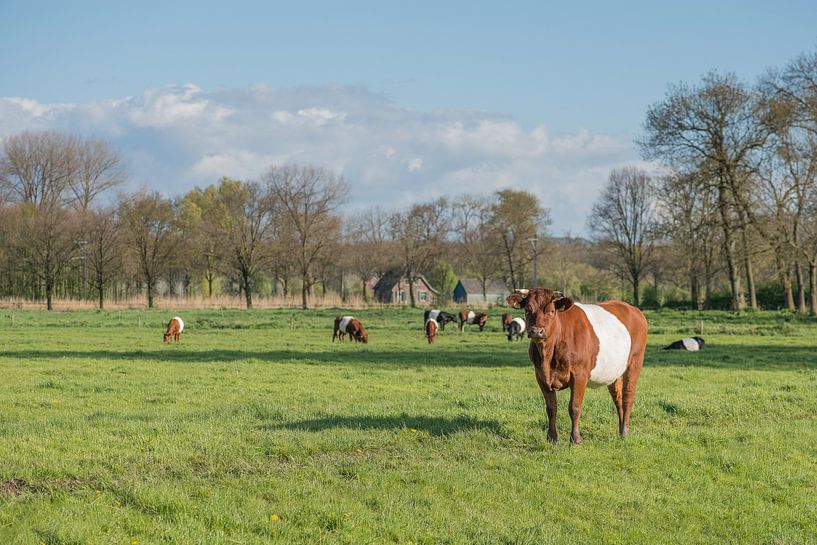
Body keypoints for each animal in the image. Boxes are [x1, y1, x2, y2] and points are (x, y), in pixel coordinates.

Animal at [507, 288, 648, 444]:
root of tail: (633, 309)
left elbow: (574, 407)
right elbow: (551, 408)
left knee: (628, 396)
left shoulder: (579, 374)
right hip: (613, 370)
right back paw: (621, 428)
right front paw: (552, 438)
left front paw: (575, 439)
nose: (537, 331)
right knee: (618, 398)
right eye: (527, 309)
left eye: (551, 311)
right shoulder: (540, 376)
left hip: (635, 361)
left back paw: (624, 431)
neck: (547, 357)